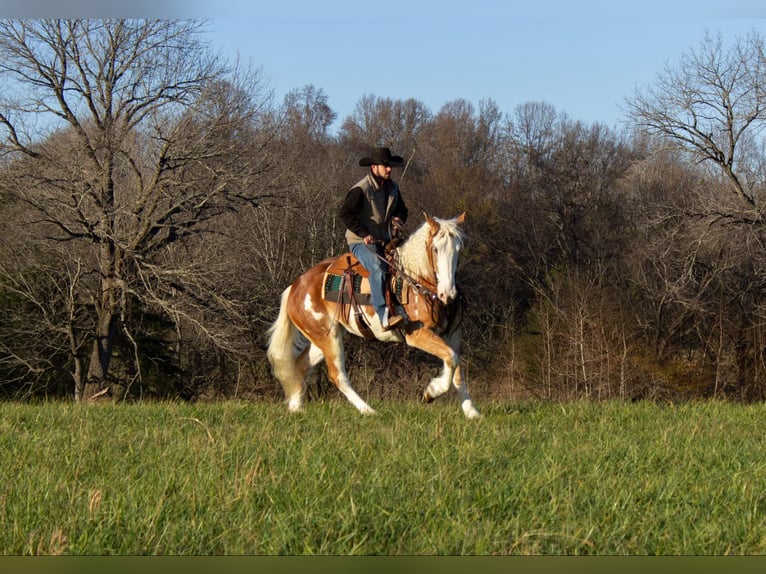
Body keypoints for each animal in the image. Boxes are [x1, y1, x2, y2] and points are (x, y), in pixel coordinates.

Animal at [266, 212, 480, 419]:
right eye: (435, 249)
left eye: (459, 249)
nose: (449, 294)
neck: (417, 280)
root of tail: (294, 287)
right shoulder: (417, 334)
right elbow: (451, 359)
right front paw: (432, 391)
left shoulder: (452, 335)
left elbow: (456, 368)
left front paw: (472, 412)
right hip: (327, 338)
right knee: (337, 375)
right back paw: (368, 410)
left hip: (326, 336)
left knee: (301, 366)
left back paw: (296, 408)